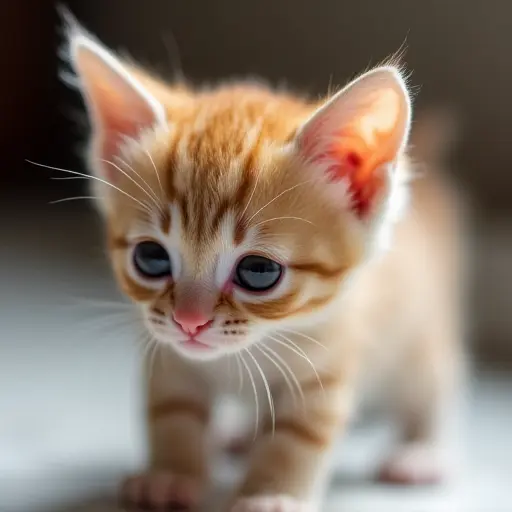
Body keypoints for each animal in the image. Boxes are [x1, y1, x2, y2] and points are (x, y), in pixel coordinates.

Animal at [62, 16, 466, 512]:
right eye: (151, 258)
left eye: (258, 272)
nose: (189, 322)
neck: (243, 355)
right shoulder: (168, 356)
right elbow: (173, 411)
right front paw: (171, 473)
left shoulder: (327, 364)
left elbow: (297, 436)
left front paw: (271, 492)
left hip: (419, 339)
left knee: (434, 386)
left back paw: (421, 450)